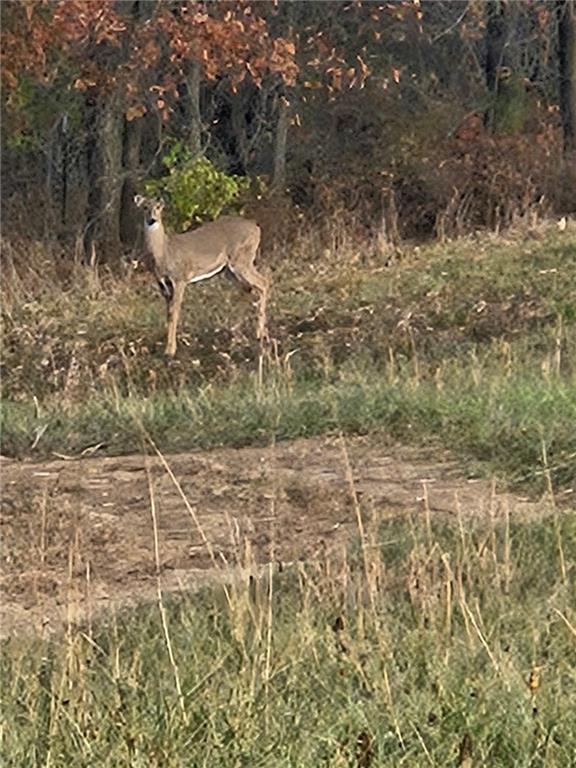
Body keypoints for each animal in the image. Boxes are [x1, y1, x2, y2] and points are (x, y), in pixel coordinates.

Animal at [134, 195, 269, 357]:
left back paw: (259, 333)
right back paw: (238, 331)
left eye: (158, 207)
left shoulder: (180, 278)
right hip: (228, 270)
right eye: (144, 207)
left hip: (242, 259)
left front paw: (170, 350)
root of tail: (257, 227)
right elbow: (168, 313)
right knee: (248, 289)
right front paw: (167, 345)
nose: (152, 220)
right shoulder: (162, 283)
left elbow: (174, 312)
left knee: (263, 282)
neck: (164, 252)